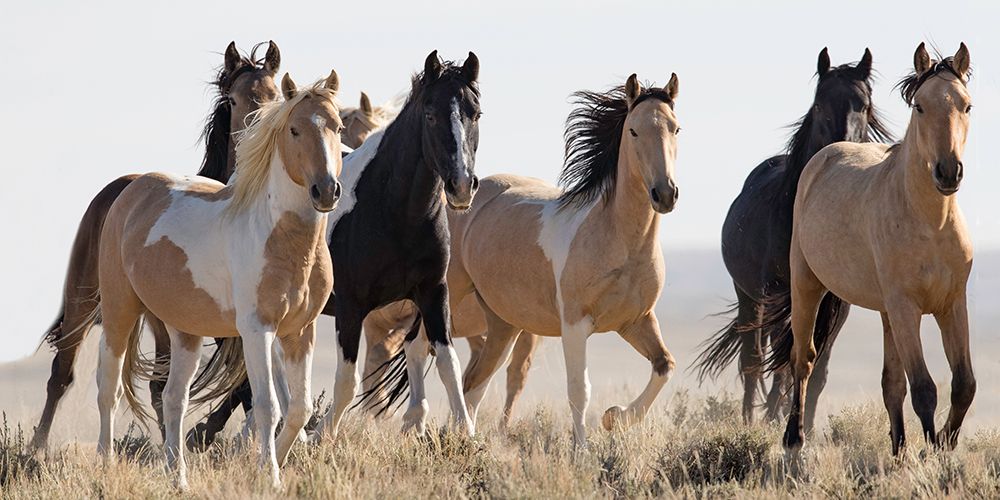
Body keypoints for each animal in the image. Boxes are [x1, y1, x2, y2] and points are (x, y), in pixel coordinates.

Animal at [30, 41, 281, 452]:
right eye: (233, 99)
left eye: (276, 96)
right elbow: (241, 385)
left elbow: (241, 384)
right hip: (83, 297)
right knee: (62, 373)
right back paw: (37, 448)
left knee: (158, 385)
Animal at [94, 72, 343, 489]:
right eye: (294, 130)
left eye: (337, 127)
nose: (325, 191)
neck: (281, 239)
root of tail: (132, 190)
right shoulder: (257, 330)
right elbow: (268, 405)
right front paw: (270, 477)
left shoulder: (299, 332)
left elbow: (299, 408)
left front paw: (277, 463)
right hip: (119, 312)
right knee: (108, 389)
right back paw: (106, 465)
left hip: (185, 331)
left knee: (173, 398)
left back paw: (177, 478)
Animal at [692, 48, 891, 429]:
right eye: (819, 103)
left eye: (863, 104)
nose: (840, 147)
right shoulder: (775, 291)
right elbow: (781, 358)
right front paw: (773, 418)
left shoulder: (836, 303)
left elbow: (818, 367)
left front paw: (806, 426)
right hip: (751, 295)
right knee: (754, 358)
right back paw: (753, 417)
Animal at [770, 42, 974, 456]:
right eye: (920, 106)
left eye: (967, 106)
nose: (948, 171)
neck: (930, 223)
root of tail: (825, 154)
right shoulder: (905, 307)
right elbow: (925, 388)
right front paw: (930, 452)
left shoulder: (951, 303)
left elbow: (963, 385)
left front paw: (940, 446)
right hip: (808, 285)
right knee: (803, 359)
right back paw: (795, 437)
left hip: (885, 312)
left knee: (891, 383)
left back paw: (898, 448)